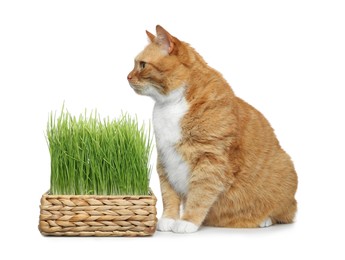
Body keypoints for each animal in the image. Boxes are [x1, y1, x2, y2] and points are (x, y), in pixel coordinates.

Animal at [126, 24, 296, 234]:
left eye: (142, 65)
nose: (127, 76)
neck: (170, 105)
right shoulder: (165, 160)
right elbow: (169, 195)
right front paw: (168, 219)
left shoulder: (210, 160)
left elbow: (199, 195)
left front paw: (188, 221)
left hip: (285, 170)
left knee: (285, 213)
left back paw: (264, 220)